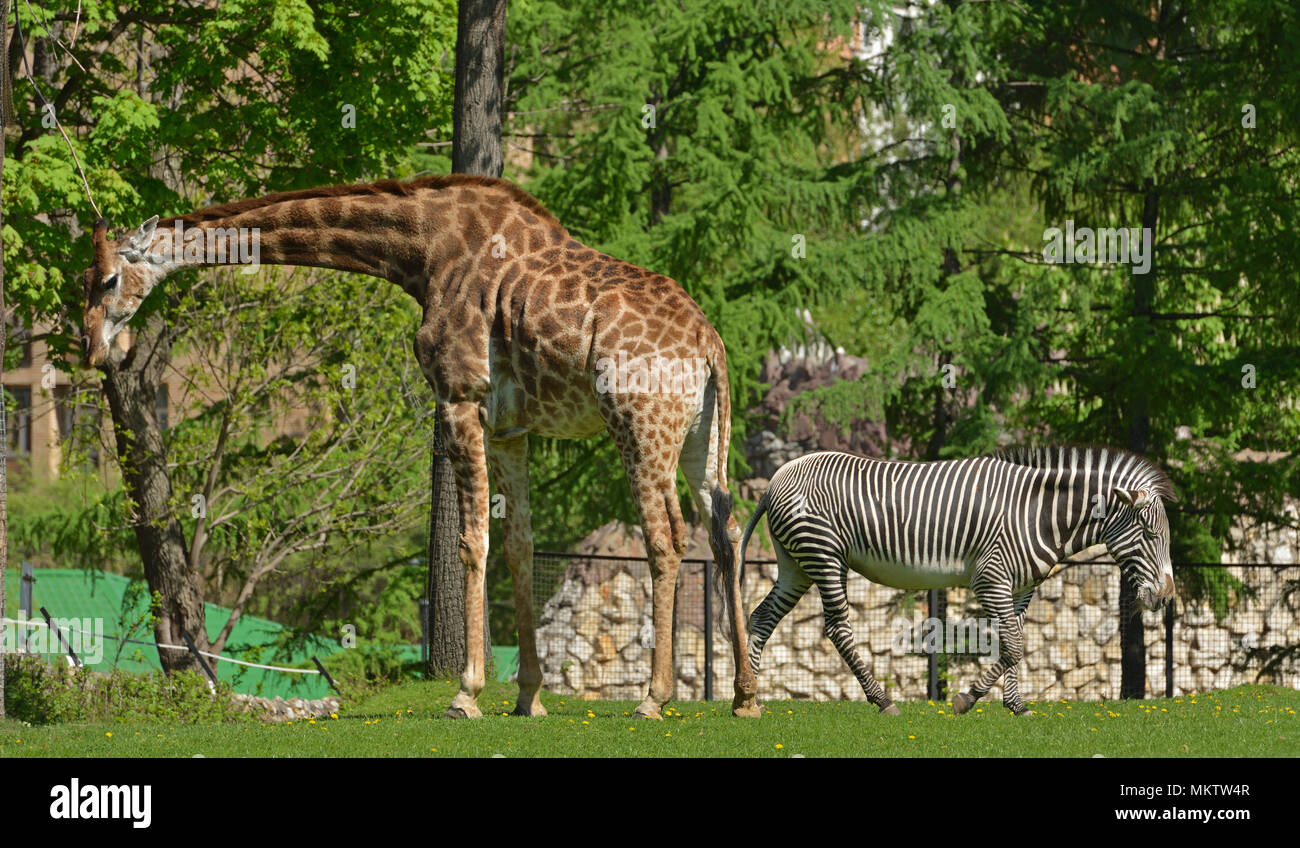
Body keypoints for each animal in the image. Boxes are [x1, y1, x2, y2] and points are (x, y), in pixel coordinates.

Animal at [79, 174, 761, 720]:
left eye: (107, 279)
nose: (90, 349)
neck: (423, 253)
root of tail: (710, 344)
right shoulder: (511, 426)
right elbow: (518, 545)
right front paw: (528, 697)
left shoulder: (459, 395)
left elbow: (470, 541)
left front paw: (466, 695)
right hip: (702, 437)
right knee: (725, 531)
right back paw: (745, 698)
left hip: (639, 426)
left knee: (666, 537)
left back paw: (654, 698)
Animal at [738, 444, 1177, 716]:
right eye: (1151, 534)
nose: (1166, 598)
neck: (1039, 514)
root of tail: (776, 478)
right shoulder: (990, 579)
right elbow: (1014, 646)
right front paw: (968, 698)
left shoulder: (1018, 588)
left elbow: (1013, 641)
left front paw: (1015, 705)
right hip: (825, 556)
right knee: (836, 628)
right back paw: (883, 701)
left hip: (795, 565)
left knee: (761, 619)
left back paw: (746, 702)